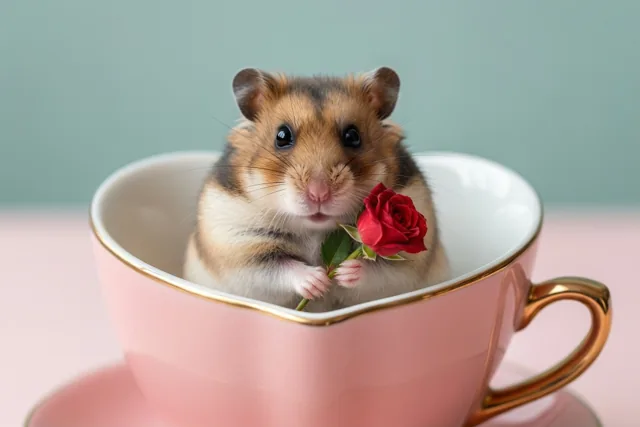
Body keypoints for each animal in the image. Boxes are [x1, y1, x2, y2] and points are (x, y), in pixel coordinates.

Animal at [182, 66, 450, 312]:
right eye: (282, 136)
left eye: (353, 136)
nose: (319, 193)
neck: (315, 230)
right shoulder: (239, 244)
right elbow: (279, 267)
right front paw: (318, 280)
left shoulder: (408, 262)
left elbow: (377, 270)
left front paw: (342, 273)